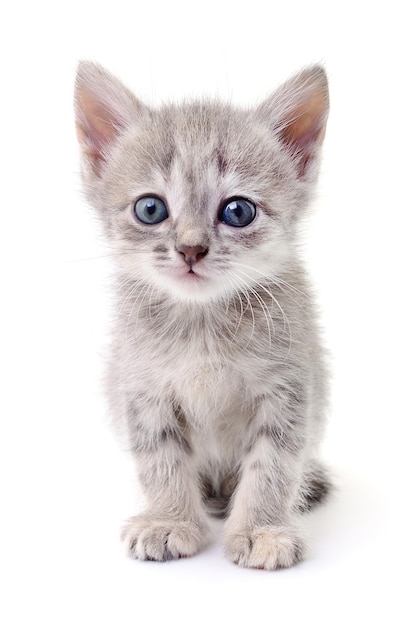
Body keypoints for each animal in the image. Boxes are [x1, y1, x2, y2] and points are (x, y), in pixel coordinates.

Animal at [75, 61, 330, 568]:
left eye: (238, 211)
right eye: (150, 208)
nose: (191, 248)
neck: (202, 322)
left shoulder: (288, 388)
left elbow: (272, 464)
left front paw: (262, 528)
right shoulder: (143, 388)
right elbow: (160, 460)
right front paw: (168, 519)